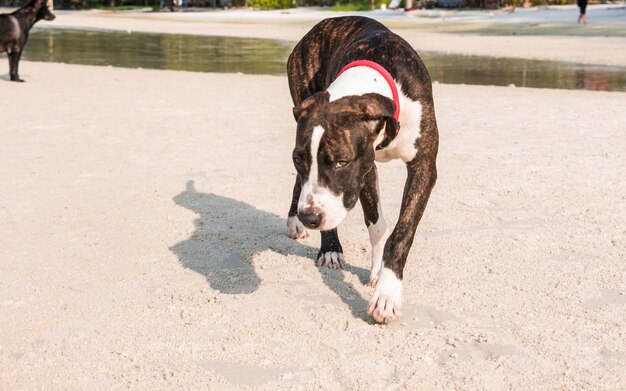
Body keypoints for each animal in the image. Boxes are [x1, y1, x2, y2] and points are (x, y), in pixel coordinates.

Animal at [286, 16, 436, 324]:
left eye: (341, 162)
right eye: (298, 159)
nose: (309, 217)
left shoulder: (423, 166)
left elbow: (400, 233)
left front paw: (387, 291)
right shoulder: (364, 169)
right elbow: (376, 224)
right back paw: (325, 244)